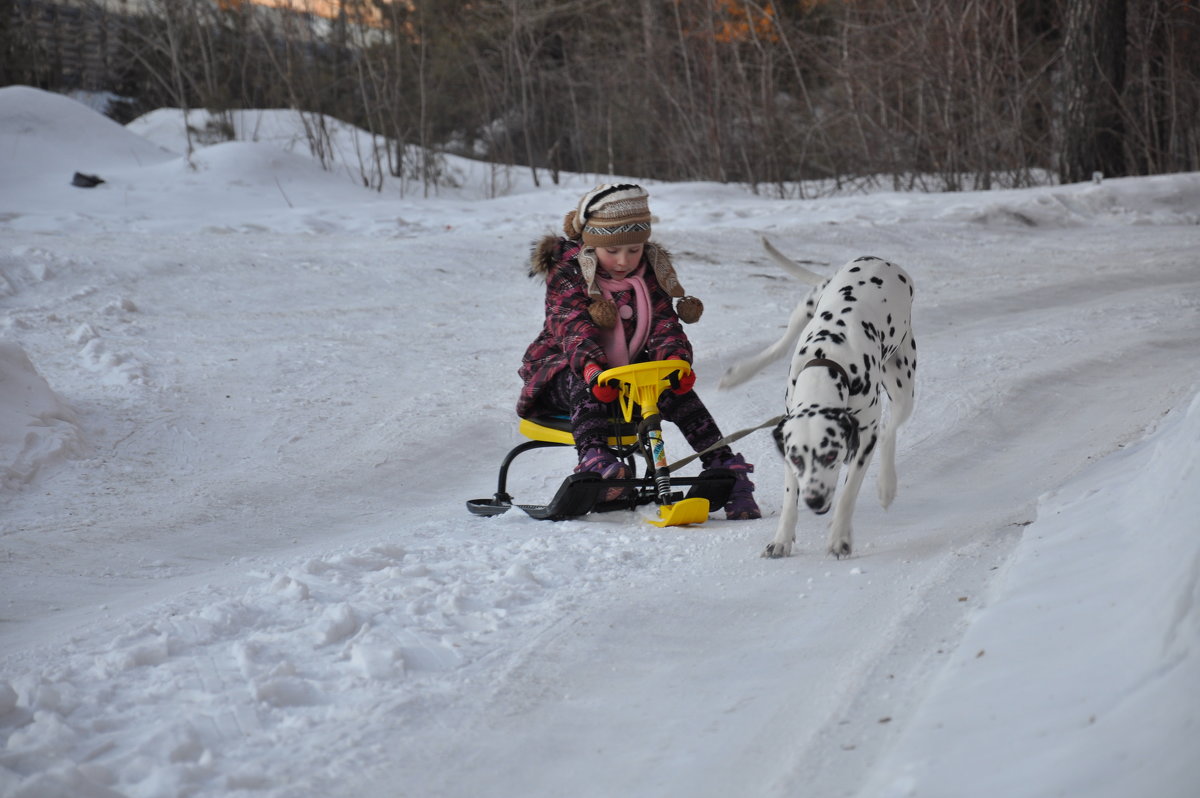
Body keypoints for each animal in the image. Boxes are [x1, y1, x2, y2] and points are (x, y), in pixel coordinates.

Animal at [720, 240, 916, 556]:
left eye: (831, 454)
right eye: (796, 458)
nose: (813, 500)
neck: (829, 359)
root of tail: (881, 261)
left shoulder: (864, 437)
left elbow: (848, 493)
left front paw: (839, 536)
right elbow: (790, 497)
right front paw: (781, 539)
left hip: (903, 385)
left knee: (889, 430)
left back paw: (887, 486)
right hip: (807, 306)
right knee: (781, 343)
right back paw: (738, 373)